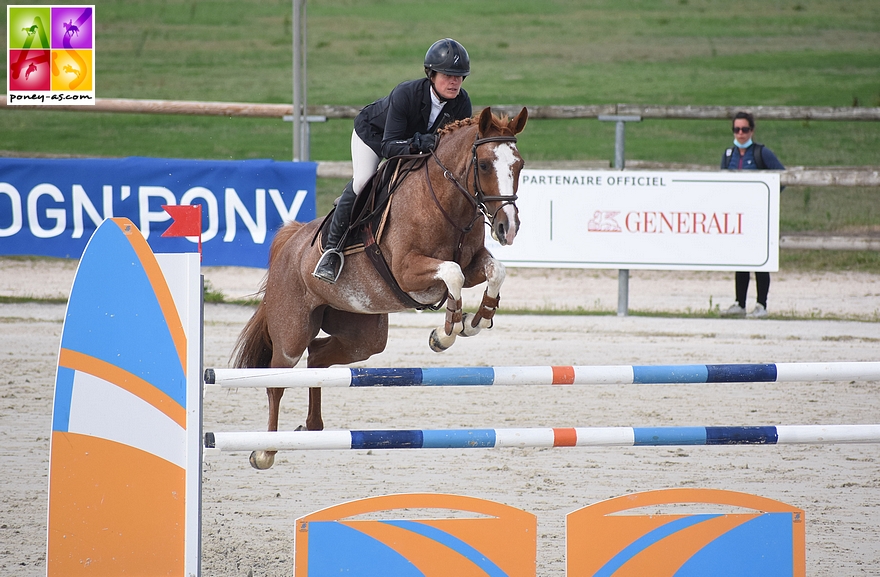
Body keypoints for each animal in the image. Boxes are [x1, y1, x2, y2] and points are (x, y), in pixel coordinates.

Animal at [230, 107, 524, 468]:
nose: (508, 228)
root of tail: (290, 241)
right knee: (278, 381)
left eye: (519, 165)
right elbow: (452, 274)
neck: (446, 201)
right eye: (483, 165)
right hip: (292, 333)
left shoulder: (473, 266)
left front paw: (474, 320)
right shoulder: (408, 271)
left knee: (318, 358)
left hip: (363, 336)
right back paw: (265, 451)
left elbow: (495, 271)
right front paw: (447, 331)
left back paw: (312, 427)